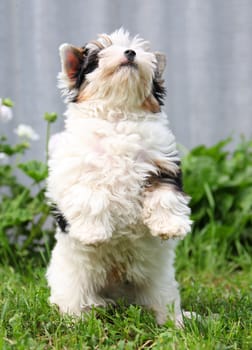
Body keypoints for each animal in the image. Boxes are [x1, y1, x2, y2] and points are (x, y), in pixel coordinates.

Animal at [45, 28, 191, 326]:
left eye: (138, 50)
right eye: (98, 56)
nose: (131, 53)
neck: (118, 114)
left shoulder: (162, 163)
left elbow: (165, 194)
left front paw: (171, 226)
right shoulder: (75, 169)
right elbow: (90, 194)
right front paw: (93, 234)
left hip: (159, 282)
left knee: (163, 299)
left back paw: (177, 323)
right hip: (72, 280)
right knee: (73, 299)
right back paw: (77, 319)